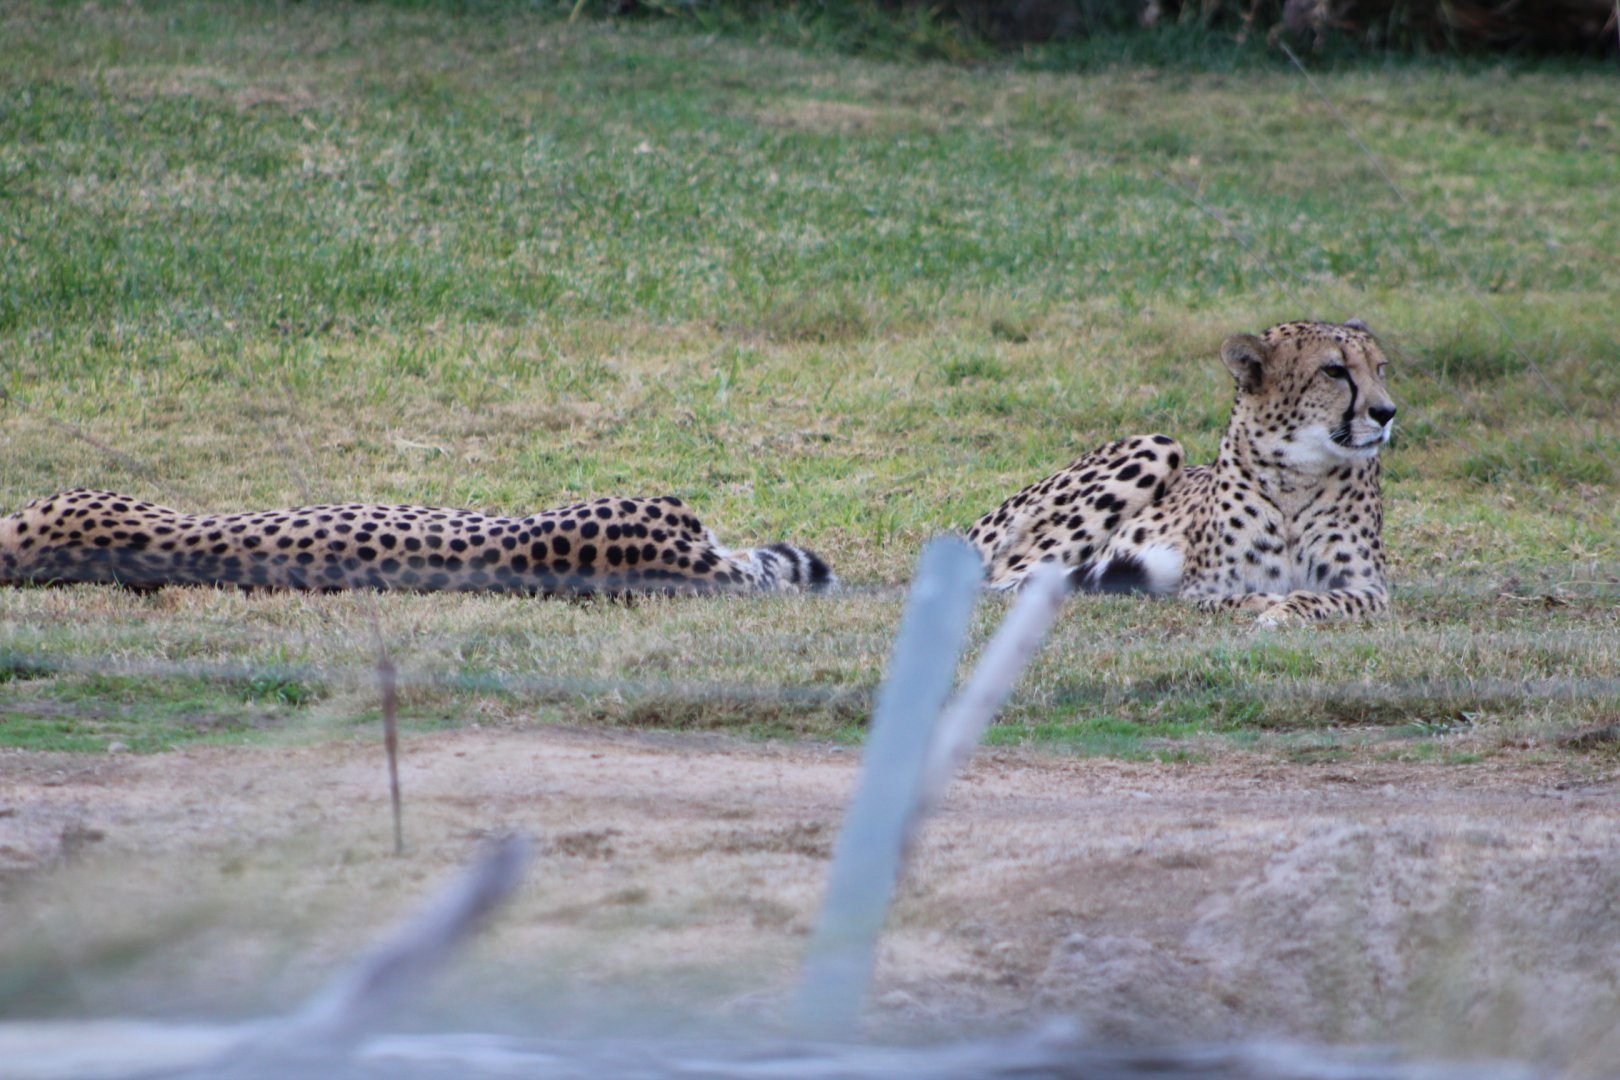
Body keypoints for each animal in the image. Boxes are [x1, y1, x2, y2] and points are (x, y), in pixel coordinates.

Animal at [967, 319, 1396, 625]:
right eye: (1334, 371)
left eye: (1380, 368)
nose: (1386, 412)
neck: (1297, 472)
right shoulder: (1199, 591)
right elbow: (1239, 597)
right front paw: (1269, 604)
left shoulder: (1370, 588)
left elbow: (1322, 597)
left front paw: (1283, 611)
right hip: (1158, 445)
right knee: (1007, 581)